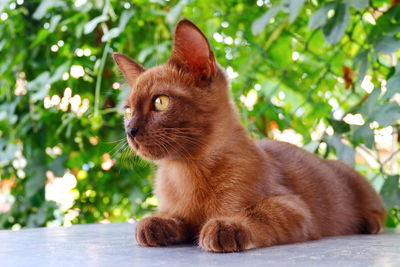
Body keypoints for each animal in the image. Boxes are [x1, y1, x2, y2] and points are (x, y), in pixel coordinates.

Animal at [111, 18, 384, 253]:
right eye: (128, 110)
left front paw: (226, 226)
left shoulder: (294, 207)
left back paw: (370, 223)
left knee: (379, 212)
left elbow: (258, 213)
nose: (129, 130)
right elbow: (168, 218)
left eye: (160, 102)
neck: (185, 170)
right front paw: (155, 224)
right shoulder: (176, 210)